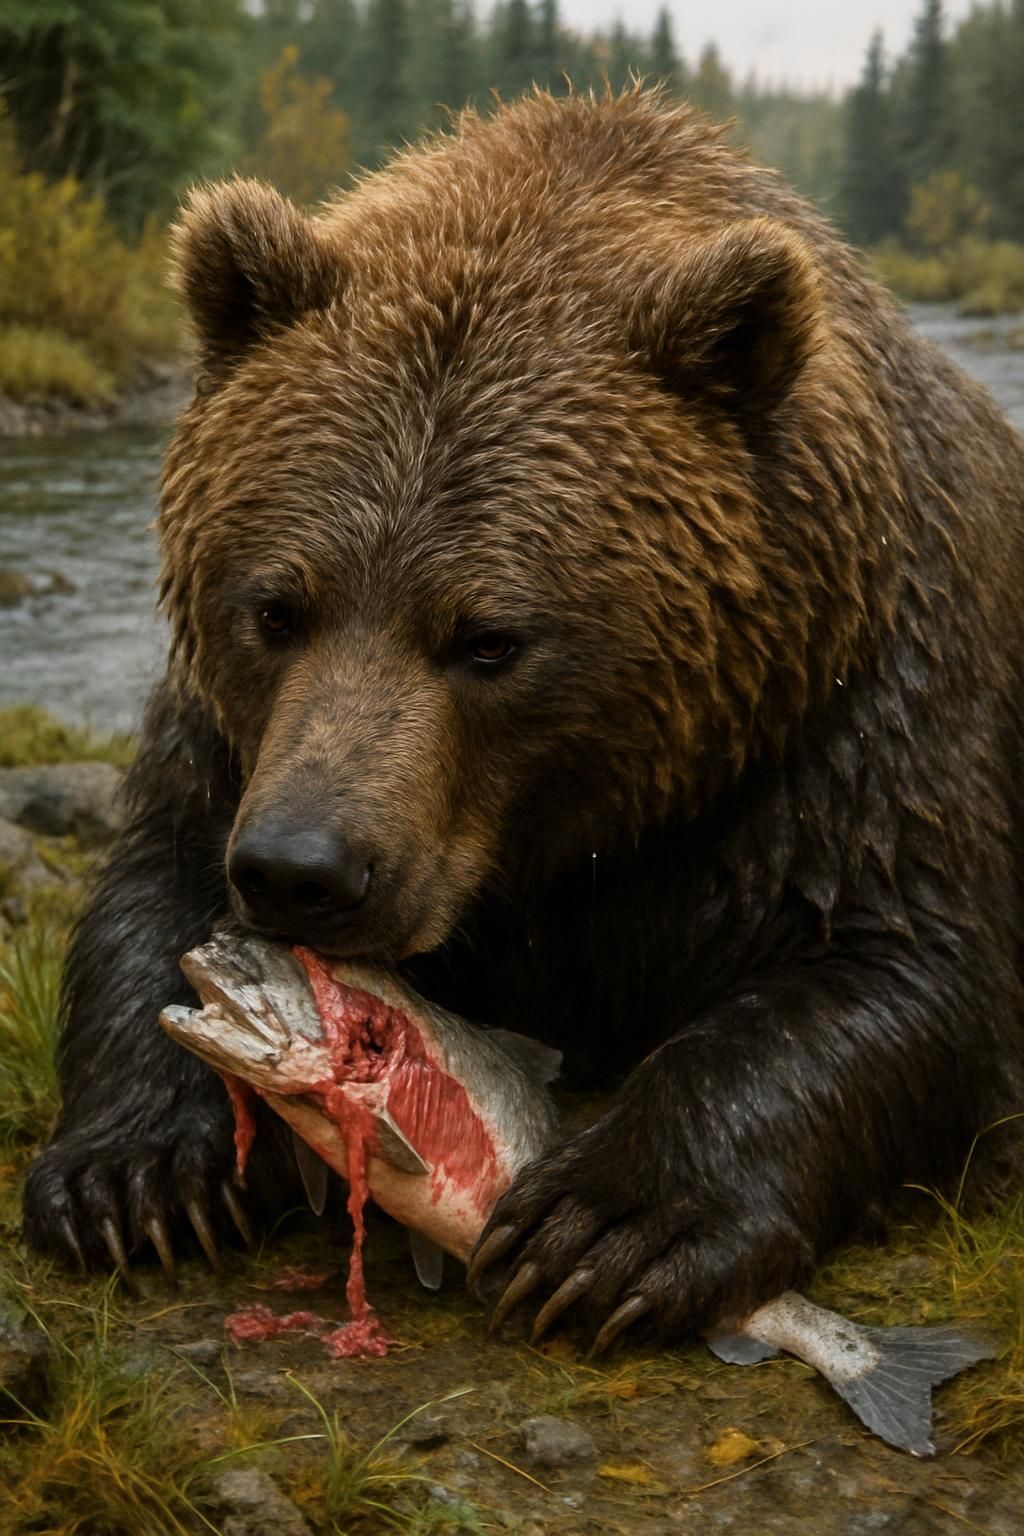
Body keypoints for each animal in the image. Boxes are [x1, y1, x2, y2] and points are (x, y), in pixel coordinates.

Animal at [23, 87, 1024, 1347]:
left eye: (488, 637)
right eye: (276, 606)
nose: (303, 871)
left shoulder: (861, 709)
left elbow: (896, 968)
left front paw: (607, 1226)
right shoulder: (228, 739)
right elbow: (150, 886)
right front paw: (132, 1176)